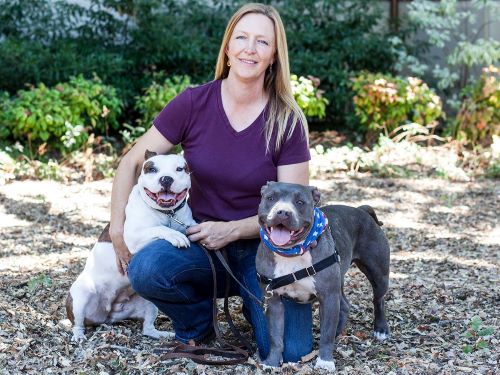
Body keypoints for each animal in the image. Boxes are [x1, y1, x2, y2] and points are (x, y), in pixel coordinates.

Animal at [67, 151, 196, 342]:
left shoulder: (190, 224)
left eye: (179, 169)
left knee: (147, 328)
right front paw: (175, 235)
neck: (168, 214)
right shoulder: (132, 238)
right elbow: (159, 228)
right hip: (81, 294)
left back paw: (161, 334)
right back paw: (78, 335)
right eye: (152, 169)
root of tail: (109, 312)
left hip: (150, 304)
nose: (166, 178)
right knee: (78, 323)